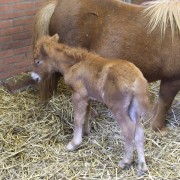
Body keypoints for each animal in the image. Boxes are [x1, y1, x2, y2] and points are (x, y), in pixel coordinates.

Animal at [31, 34, 150, 174]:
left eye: (38, 61)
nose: (34, 77)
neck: (74, 65)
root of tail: (137, 79)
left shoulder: (78, 95)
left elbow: (77, 119)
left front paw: (74, 144)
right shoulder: (87, 96)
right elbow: (86, 113)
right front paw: (86, 132)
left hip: (118, 108)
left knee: (128, 129)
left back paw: (125, 161)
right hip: (133, 108)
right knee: (139, 131)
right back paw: (142, 166)